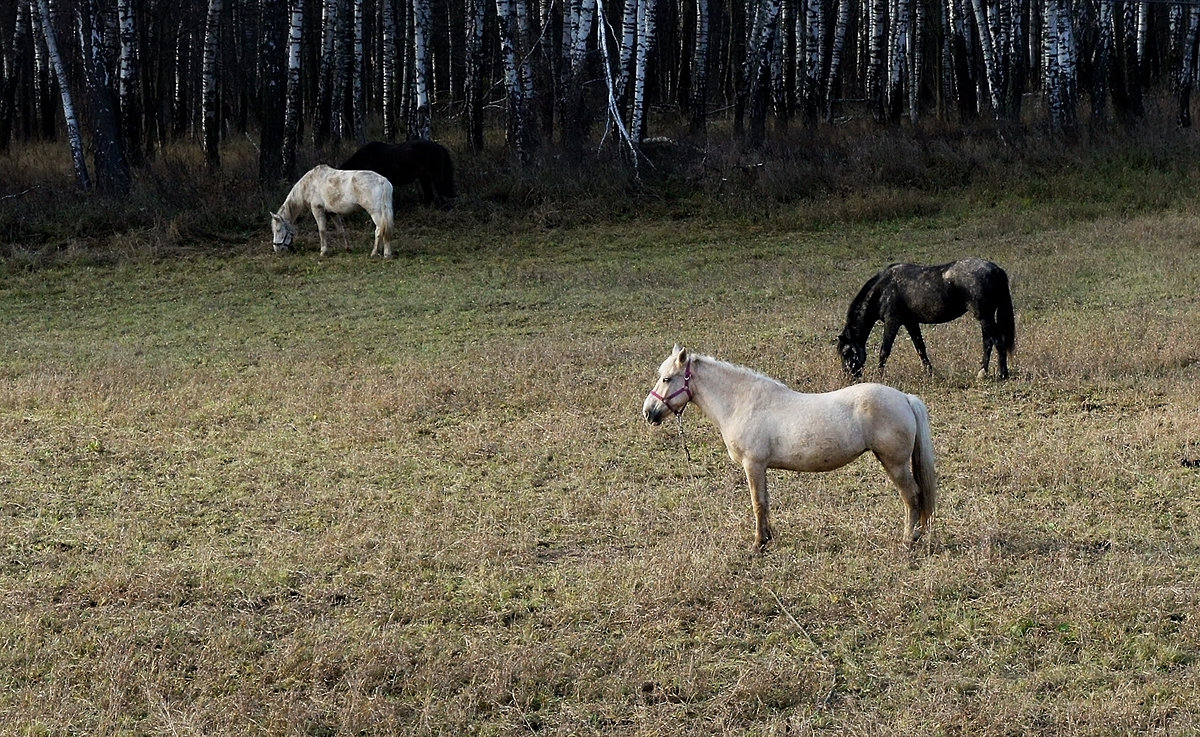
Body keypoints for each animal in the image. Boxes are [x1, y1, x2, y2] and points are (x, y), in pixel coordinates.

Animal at [643, 350, 940, 552]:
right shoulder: (760, 467)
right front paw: (767, 538)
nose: (648, 413)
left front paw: (757, 545)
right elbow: (765, 502)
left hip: (895, 464)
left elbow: (758, 503)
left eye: (667, 378)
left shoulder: (753, 465)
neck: (743, 403)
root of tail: (904, 398)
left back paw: (908, 540)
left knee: (911, 496)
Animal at [840, 258, 1017, 381]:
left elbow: (884, 351)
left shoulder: (892, 322)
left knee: (997, 341)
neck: (883, 288)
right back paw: (982, 373)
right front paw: (930, 373)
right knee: (988, 343)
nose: (849, 378)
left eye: (845, 353)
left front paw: (879, 376)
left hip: (985, 317)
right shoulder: (910, 322)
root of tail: (996, 270)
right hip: (985, 318)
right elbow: (920, 348)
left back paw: (1002, 374)